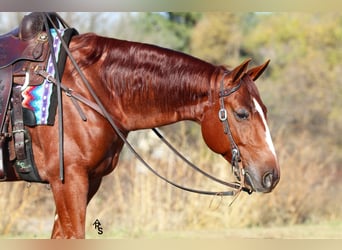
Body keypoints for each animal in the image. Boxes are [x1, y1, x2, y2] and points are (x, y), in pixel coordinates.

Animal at [4, 32, 280, 237]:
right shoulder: (67, 181)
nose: (272, 176)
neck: (86, 89)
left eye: (265, 111)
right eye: (242, 114)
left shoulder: (89, 181)